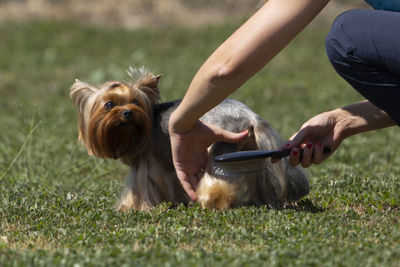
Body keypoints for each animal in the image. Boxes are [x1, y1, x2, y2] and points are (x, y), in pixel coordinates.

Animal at [70, 68, 310, 213]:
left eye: (136, 101)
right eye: (109, 105)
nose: (127, 113)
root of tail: (251, 116)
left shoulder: (147, 164)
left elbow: (139, 187)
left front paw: (131, 207)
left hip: (222, 151)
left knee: (216, 185)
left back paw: (210, 202)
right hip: (249, 155)